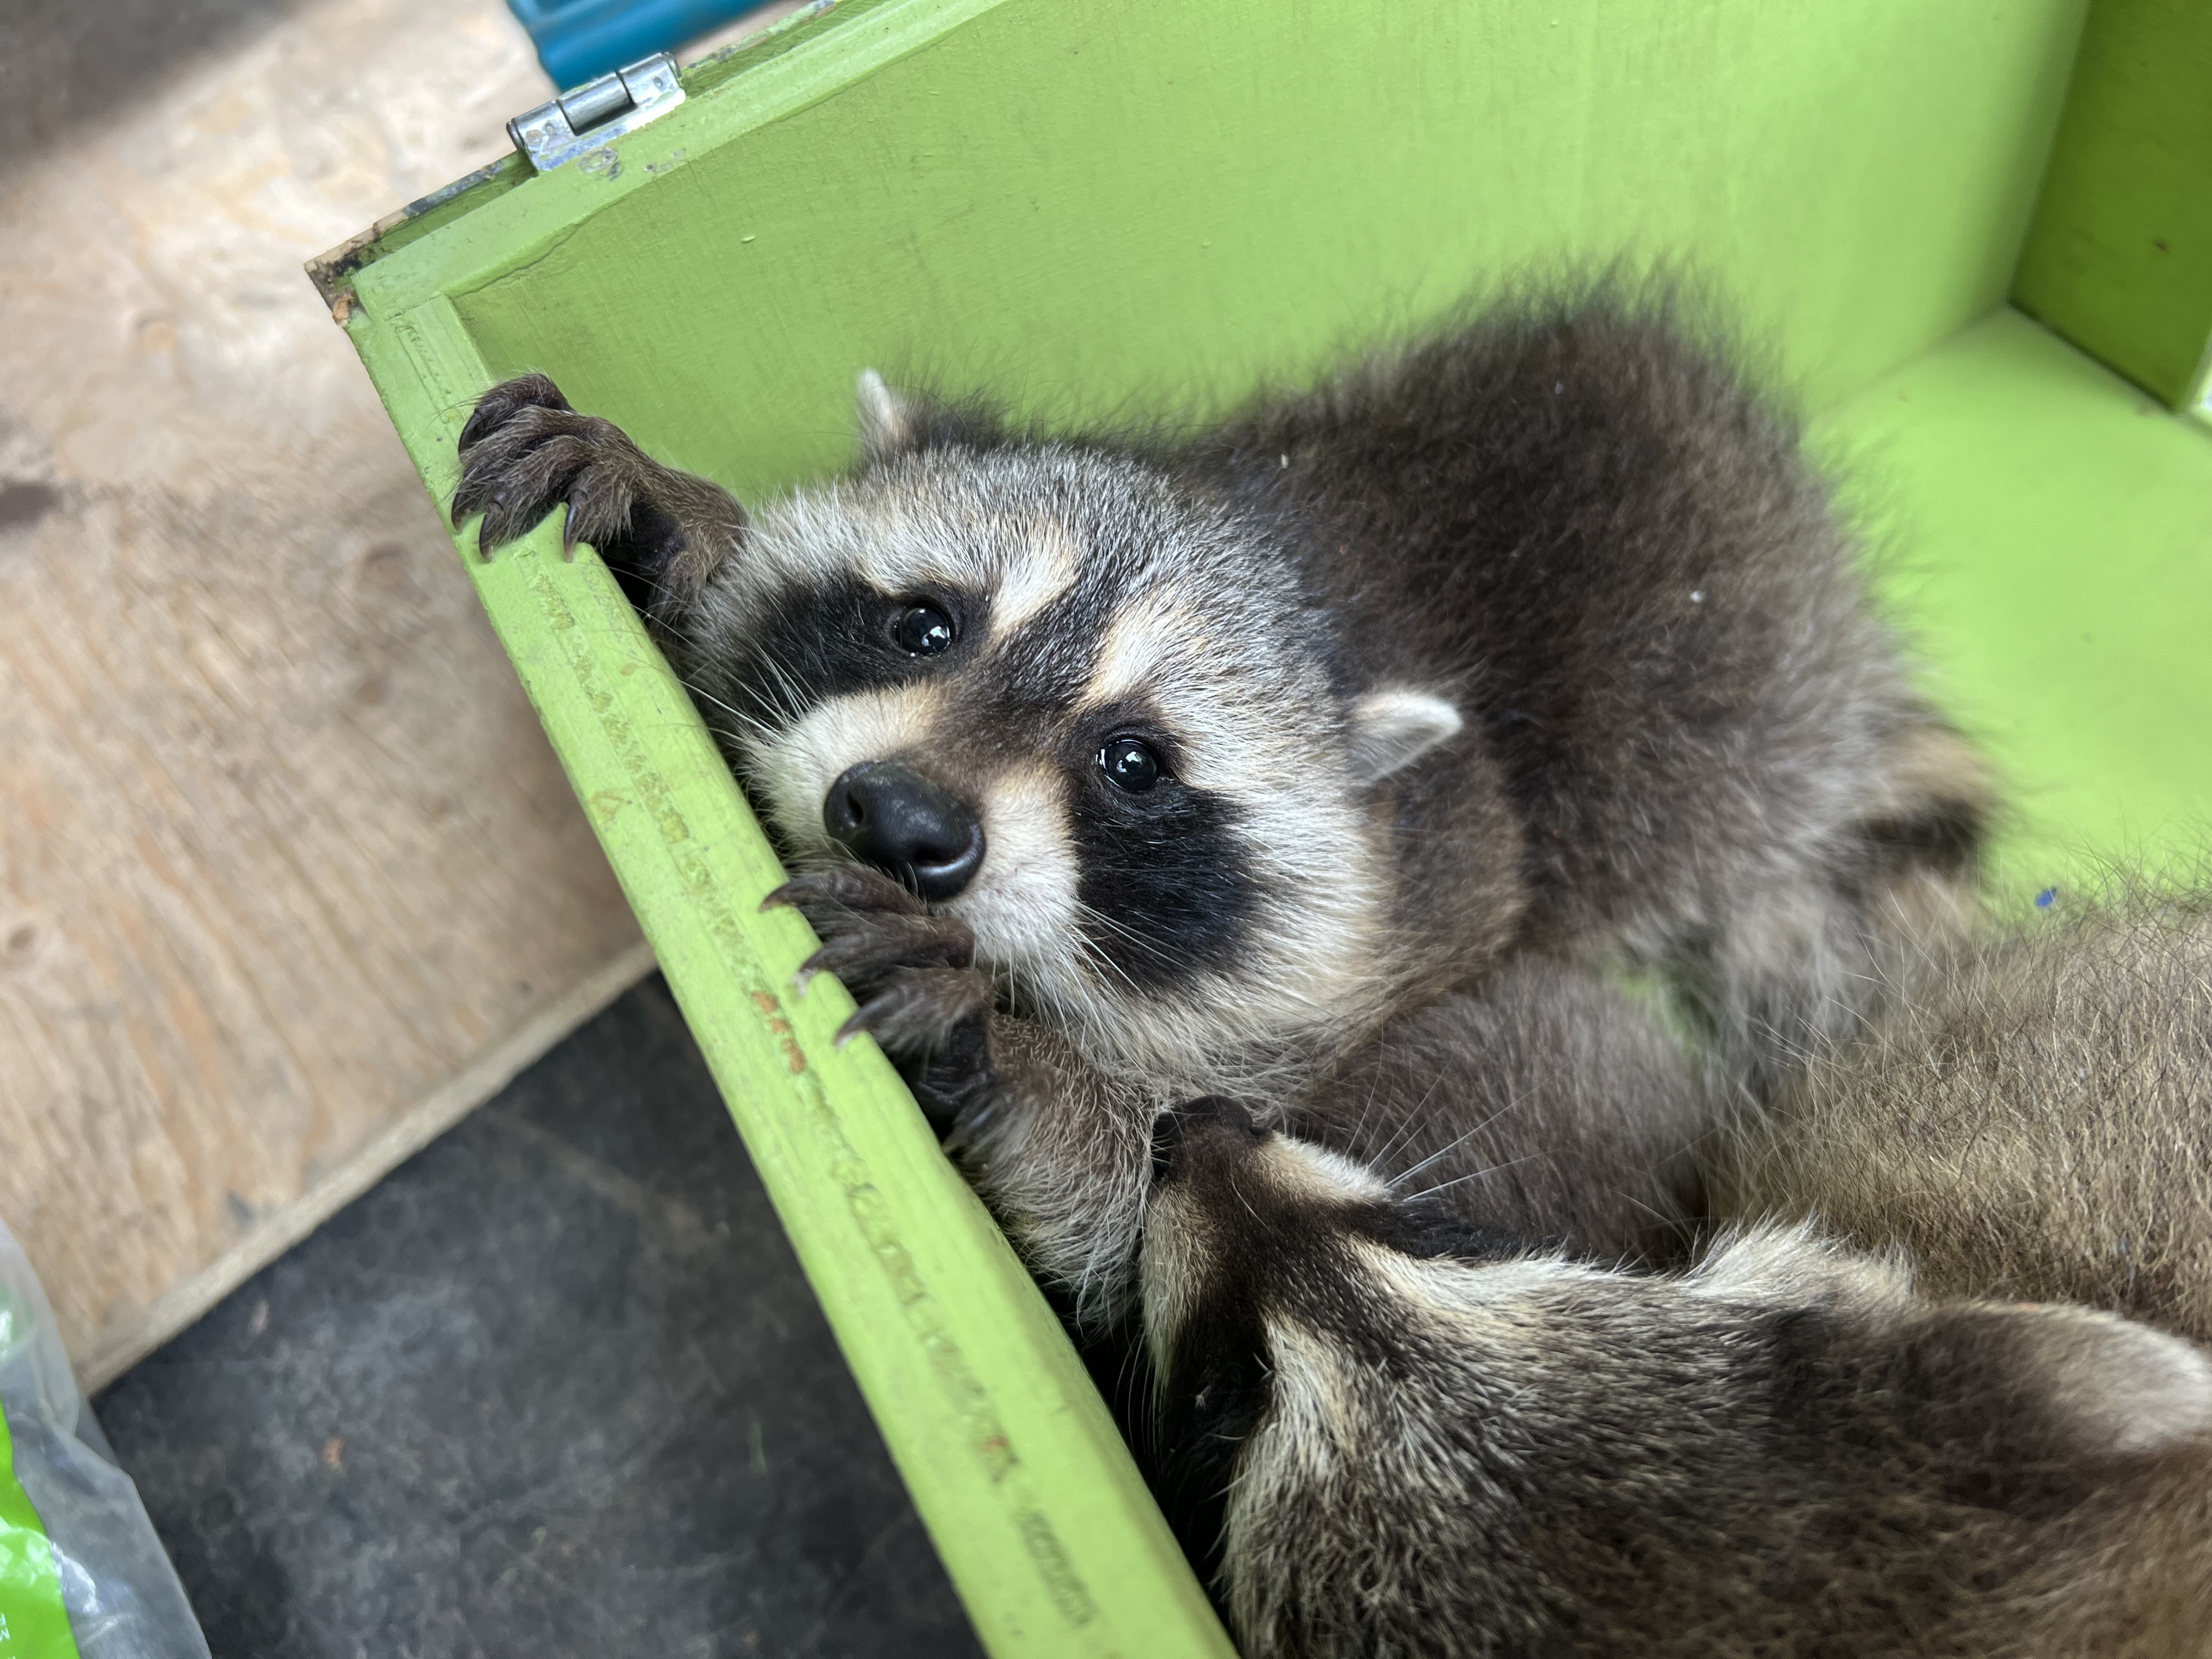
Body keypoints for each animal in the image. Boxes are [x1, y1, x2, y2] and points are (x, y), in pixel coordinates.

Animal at [452, 283, 1987, 1312]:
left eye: (1134, 765)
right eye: (923, 626)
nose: (900, 825)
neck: (1265, 532)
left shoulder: (1364, 967)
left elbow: (1134, 1220)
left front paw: (1017, 1055)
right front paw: (688, 533)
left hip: (1712, 746)